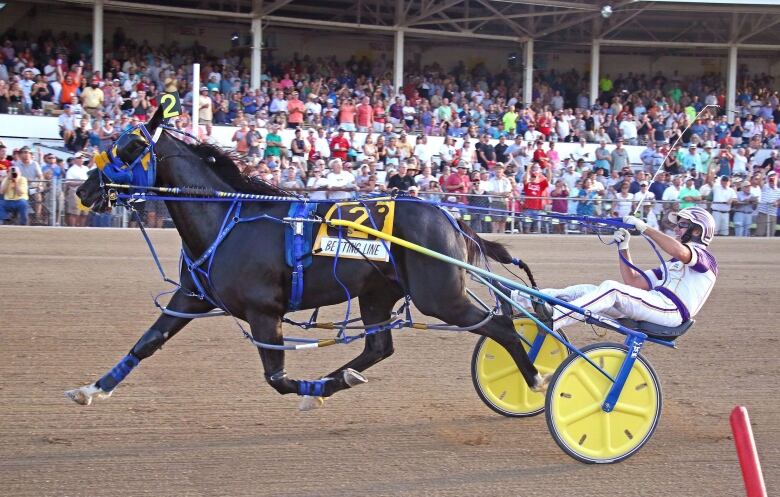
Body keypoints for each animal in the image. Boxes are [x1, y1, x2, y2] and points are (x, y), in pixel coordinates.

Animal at [67, 106, 548, 408]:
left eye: (130, 147)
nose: (84, 190)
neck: (228, 218)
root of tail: (451, 219)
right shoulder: (192, 296)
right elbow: (148, 342)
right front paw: (91, 389)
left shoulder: (264, 311)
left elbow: (277, 379)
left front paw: (308, 393)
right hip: (378, 294)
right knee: (379, 347)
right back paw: (344, 375)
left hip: (440, 296)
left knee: (501, 327)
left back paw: (536, 378)